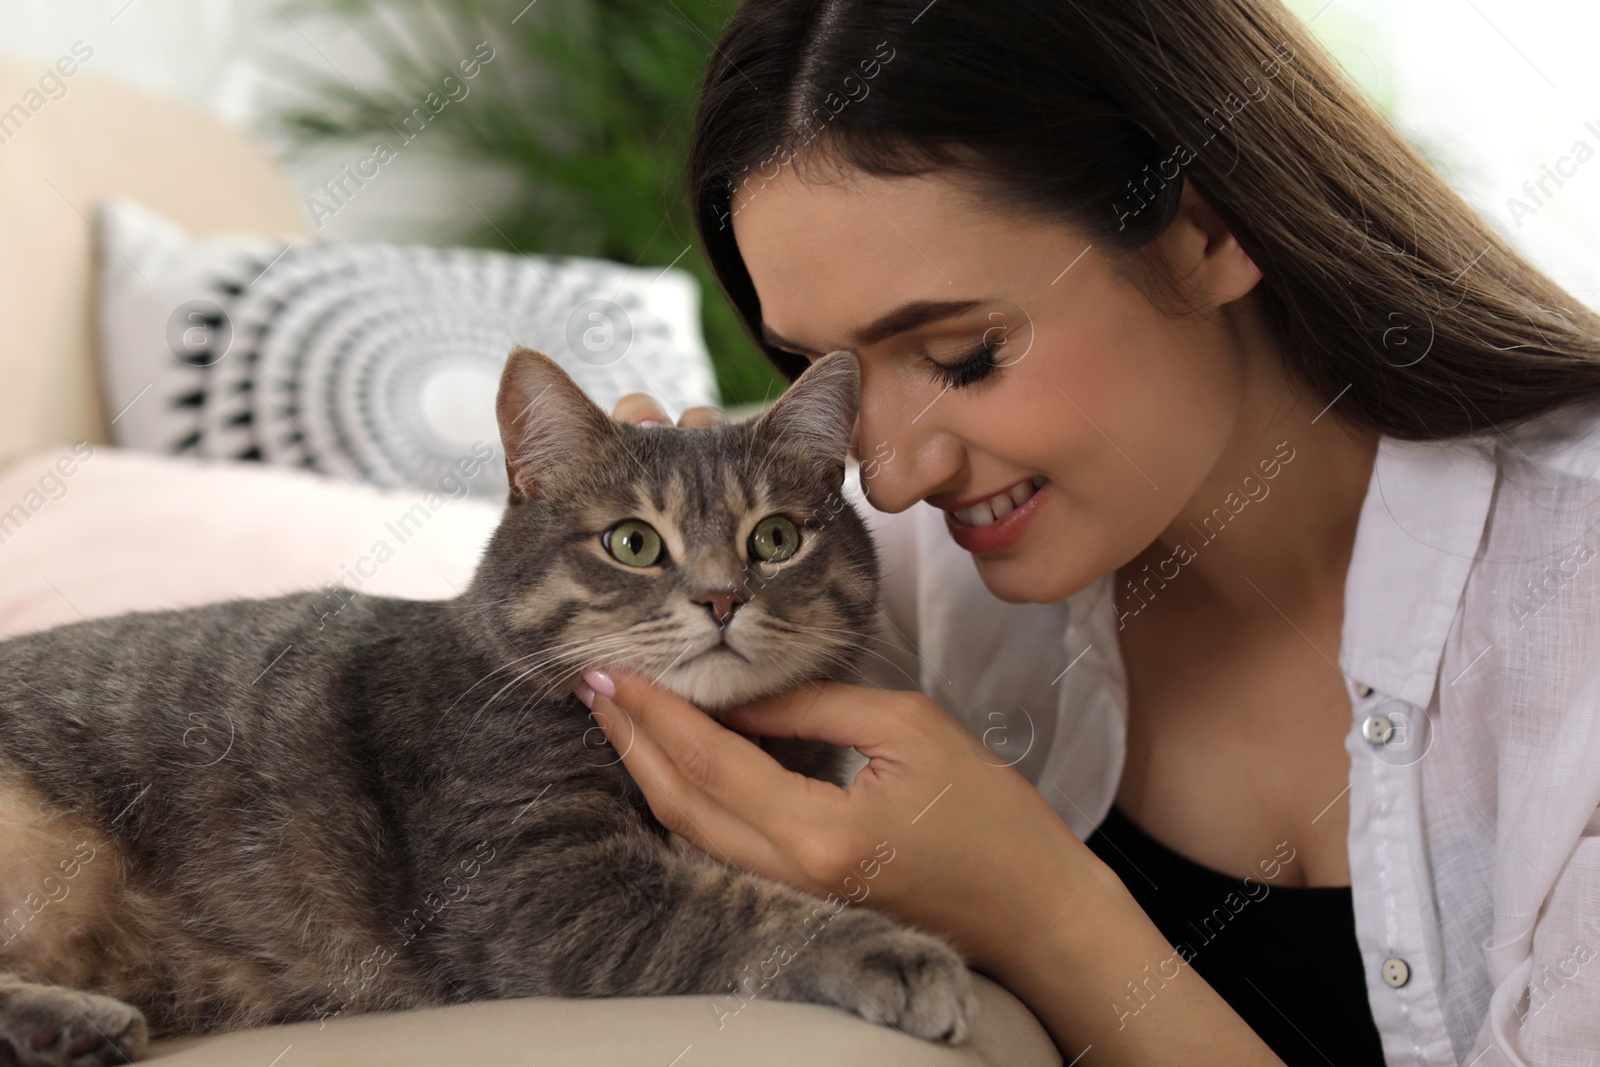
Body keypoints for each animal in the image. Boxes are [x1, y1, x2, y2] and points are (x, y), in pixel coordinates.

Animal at [0, 347, 972, 1062]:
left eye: (775, 537)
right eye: (633, 542)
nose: (723, 597)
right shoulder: (538, 887)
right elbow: (748, 911)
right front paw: (896, 950)